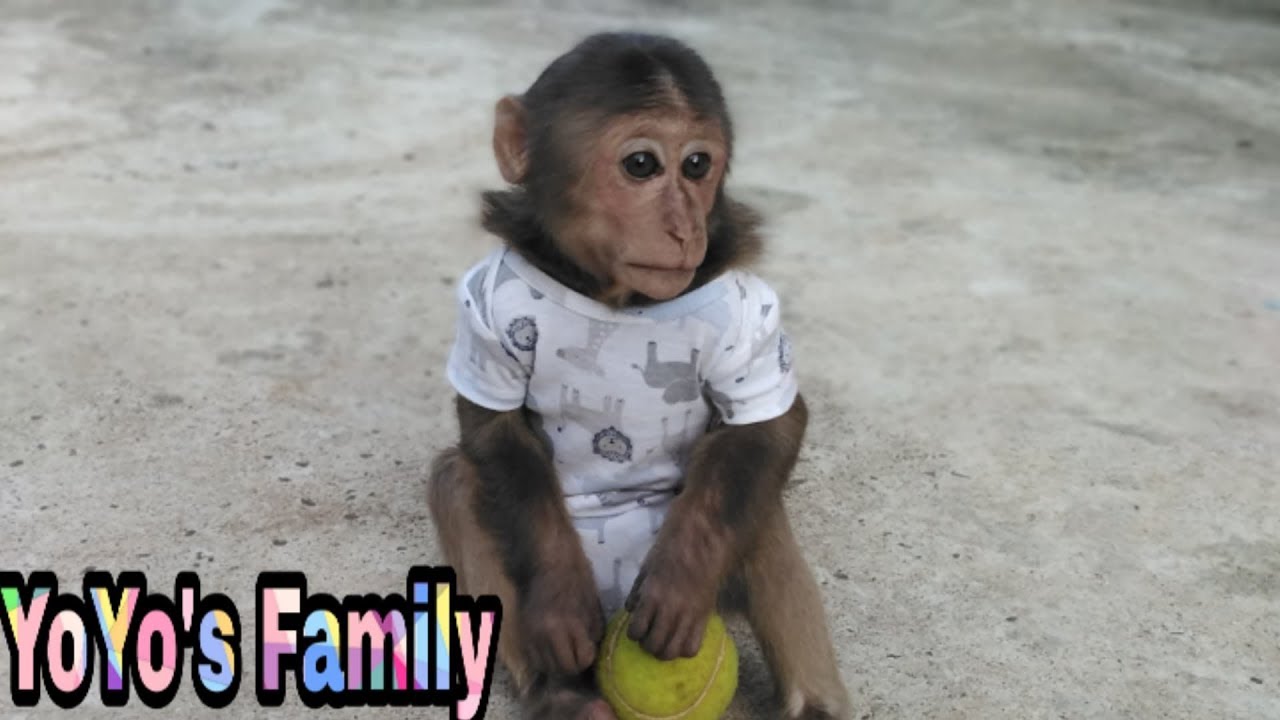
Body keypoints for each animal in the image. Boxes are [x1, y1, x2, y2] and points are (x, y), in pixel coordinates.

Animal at [427, 33, 852, 720]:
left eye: (698, 165)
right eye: (643, 165)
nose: (685, 227)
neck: (612, 296)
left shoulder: (747, 306)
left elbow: (769, 427)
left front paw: (680, 582)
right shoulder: (484, 298)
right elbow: (492, 429)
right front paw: (558, 600)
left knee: (753, 496)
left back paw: (812, 705)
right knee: (460, 480)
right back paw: (561, 696)